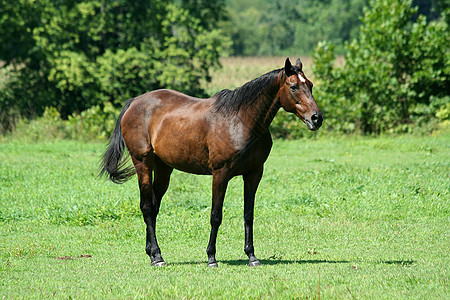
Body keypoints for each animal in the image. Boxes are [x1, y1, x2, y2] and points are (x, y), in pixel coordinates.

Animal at [100, 58, 322, 268]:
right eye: (293, 87)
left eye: (310, 85)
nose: (316, 118)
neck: (241, 120)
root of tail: (135, 102)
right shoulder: (220, 174)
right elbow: (216, 215)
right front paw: (211, 257)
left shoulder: (254, 173)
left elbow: (248, 214)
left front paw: (251, 256)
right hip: (143, 164)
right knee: (146, 207)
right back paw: (157, 257)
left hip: (163, 168)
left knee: (154, 208)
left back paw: (152, 253)